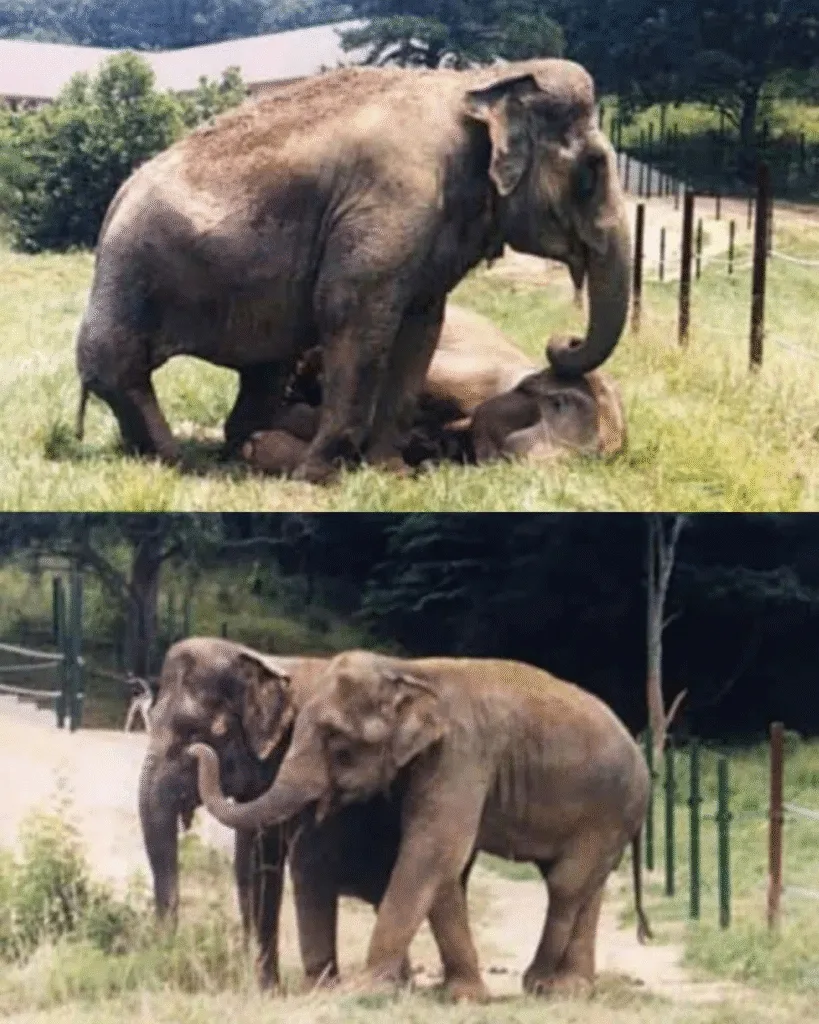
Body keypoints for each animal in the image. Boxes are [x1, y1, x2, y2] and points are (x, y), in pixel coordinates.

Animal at [75, 58, 631, 484]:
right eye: (592, 173)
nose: (564, 342)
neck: (480, 82)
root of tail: (119, 195)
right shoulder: (390, 202)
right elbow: (353, 317)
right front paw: (317, 476)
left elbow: (420, 327)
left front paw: (390, 472)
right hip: (132, 272)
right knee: (116, 366)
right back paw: (177, 462)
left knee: (263, 369)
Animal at [139, 637, 475, 990]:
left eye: (194, 733)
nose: (167, 950)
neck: (267, 662)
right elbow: (253, 864)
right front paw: (267, 991)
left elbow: (310, 860)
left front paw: (318, 989)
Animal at [189, 650, 653, 1002]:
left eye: (338, 743)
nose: (197, 749)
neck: (409, 671)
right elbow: (441, 869)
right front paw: (461, 995)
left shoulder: (461, 755)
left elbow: (432, 851)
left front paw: (368, 990)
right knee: (587, 887)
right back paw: (571, 988)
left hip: (609, 811)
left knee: (566, 884)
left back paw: (540, 984)